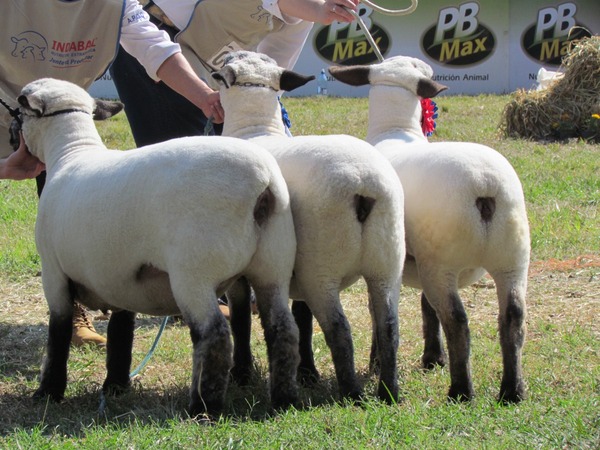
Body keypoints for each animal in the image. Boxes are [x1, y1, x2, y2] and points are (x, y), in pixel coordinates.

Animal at [17, 76, 300, 414]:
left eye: (19, 113)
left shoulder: (54, 274)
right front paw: (115, 386)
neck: (71, 152)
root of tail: (265, 182)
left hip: (194, 272)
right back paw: (284, 398)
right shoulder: (120, 278)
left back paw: (203, 406)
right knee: (282, 327)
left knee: (214, 333)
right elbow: (120, 333)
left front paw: (48, 392)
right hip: (273, 265)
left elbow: (57, 334)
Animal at [213, 51, 406, 402]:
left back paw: (352, 392)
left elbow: (242, 319)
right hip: (386, 261)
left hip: (322, 268)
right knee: (389, 326)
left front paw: (242, 373)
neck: (255, 128)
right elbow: (301, 317)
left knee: (340, 329)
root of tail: (366, 187)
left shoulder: (251, 270)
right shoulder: (295, 270)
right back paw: (388, 390)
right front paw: (307, 372)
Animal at [330, 57, 532, 404]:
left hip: (442, 263)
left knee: (458, 321)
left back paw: (461, 390)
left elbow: (380, 312)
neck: (395, 129)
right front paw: (432, 358)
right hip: (513, 257)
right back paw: (512, 390)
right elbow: (426, 307)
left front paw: (378, 362)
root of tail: (486, 188)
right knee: (513, 318)